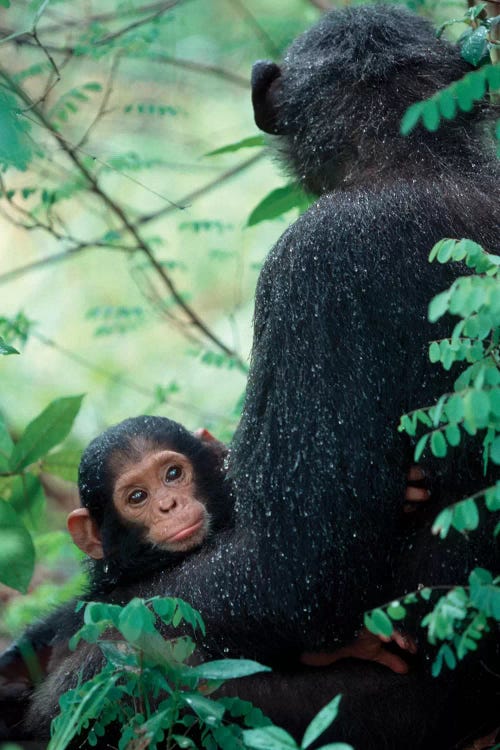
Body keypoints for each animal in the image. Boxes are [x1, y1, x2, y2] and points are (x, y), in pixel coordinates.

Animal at [1, 1, 498, 748]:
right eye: (142, 494)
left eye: (169, 479)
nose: (168, 505)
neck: (418, 158)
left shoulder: (315, 265)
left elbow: (295, 566)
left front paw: (85, 655)